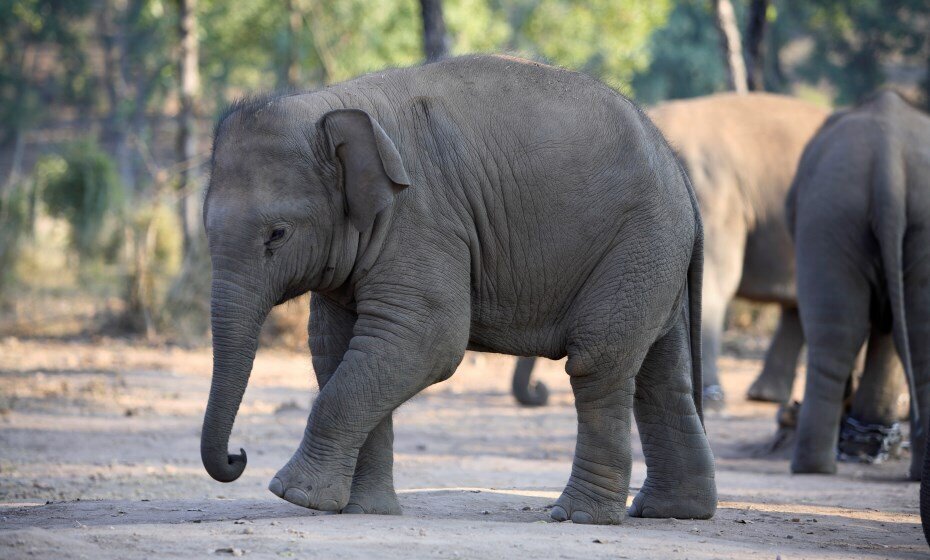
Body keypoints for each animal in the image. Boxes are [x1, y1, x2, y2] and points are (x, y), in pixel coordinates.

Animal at [199, 54, 716, 524]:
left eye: (277, 234)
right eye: (205, 227)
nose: (238, 456)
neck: (329, 104)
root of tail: (680, 173)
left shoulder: (422, 219)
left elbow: (425, 340)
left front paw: (295, 495)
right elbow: (338, 348)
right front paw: (364, 511)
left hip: (638, 244)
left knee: (599, 363)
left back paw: (578, 517)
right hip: (653, 258)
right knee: (660, 375)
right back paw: (672, 511)